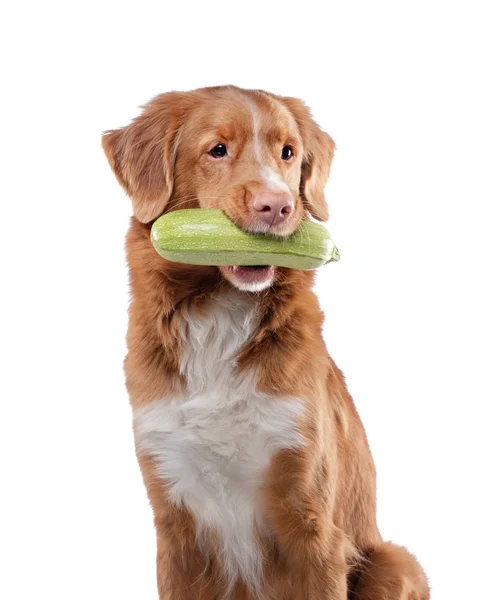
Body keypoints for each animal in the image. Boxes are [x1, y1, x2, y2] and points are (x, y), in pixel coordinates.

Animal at [101, 85, 430, 600]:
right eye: (217, 149)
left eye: (288, 153)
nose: (277, 206)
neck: (219, 315)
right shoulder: (174, 521)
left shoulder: (310, 517)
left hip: (392, 563)